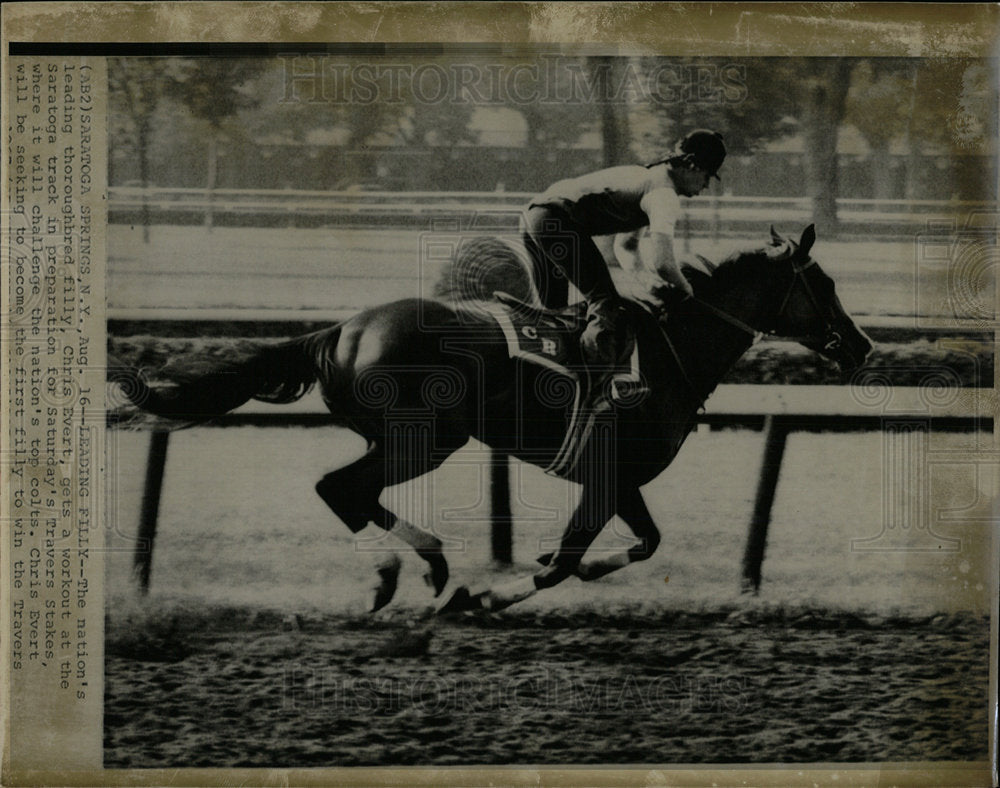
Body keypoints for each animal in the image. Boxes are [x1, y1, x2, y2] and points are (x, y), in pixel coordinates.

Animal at [121, 225, 872, 612]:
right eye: (825, 283)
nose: (862, 346)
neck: (670, 350)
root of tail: (342, 330)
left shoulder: (618, 478)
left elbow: (642, 544)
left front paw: (571, 569)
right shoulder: (605, 477)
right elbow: (563, 563)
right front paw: (489, 595)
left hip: (407, 436)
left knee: (350, 493)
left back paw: (416, 568)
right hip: (426, 436)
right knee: (340, 488)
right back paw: (407, 571)